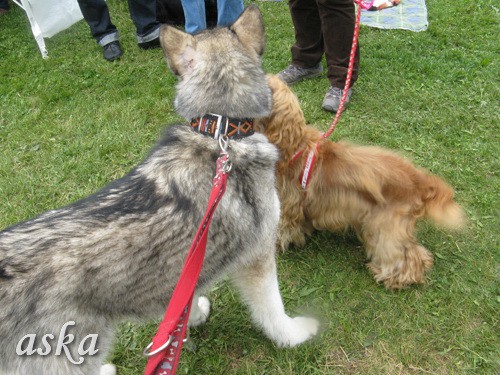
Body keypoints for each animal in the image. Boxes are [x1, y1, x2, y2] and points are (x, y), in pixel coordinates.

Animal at [0, 8, 318, 375]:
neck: (220, 131)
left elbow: (181, 300)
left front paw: (186, 320)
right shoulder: (258, 256)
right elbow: (272, 309)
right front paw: (293, 335)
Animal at [256, 75, 466, 290]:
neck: (293, 145)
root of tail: (419, 180)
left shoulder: (288, 206)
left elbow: (283, 229)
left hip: (385, 227)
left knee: (405, 255)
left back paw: (393, 277)